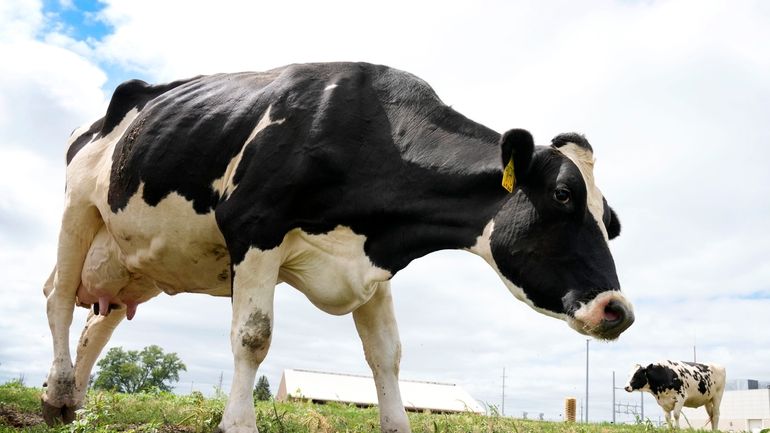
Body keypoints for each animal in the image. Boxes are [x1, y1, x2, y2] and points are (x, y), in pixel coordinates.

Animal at [39, 61, 632, 432]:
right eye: (562, 195)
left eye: (612, 222)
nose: (618, 310)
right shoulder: (254, 227)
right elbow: (253, 336)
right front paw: (238, 423)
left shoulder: (371, 263)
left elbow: (388, 355)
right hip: (77, 209)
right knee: (60, 298)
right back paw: (56, 395)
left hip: (130, 260)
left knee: (99, 322)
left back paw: (75, 405)